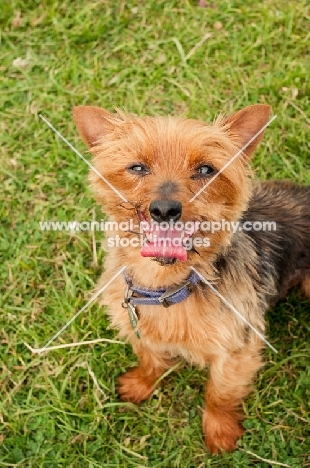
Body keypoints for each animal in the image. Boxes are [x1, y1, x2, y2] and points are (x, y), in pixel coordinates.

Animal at [73, 104, 310, 452]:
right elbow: (149, 358)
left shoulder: (237, 349)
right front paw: (141, 383)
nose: (164, 209)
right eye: (137, 167)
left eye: (206, 169)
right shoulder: (137, 324)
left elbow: (220, 392)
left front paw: (220, 430)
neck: (167, 286)